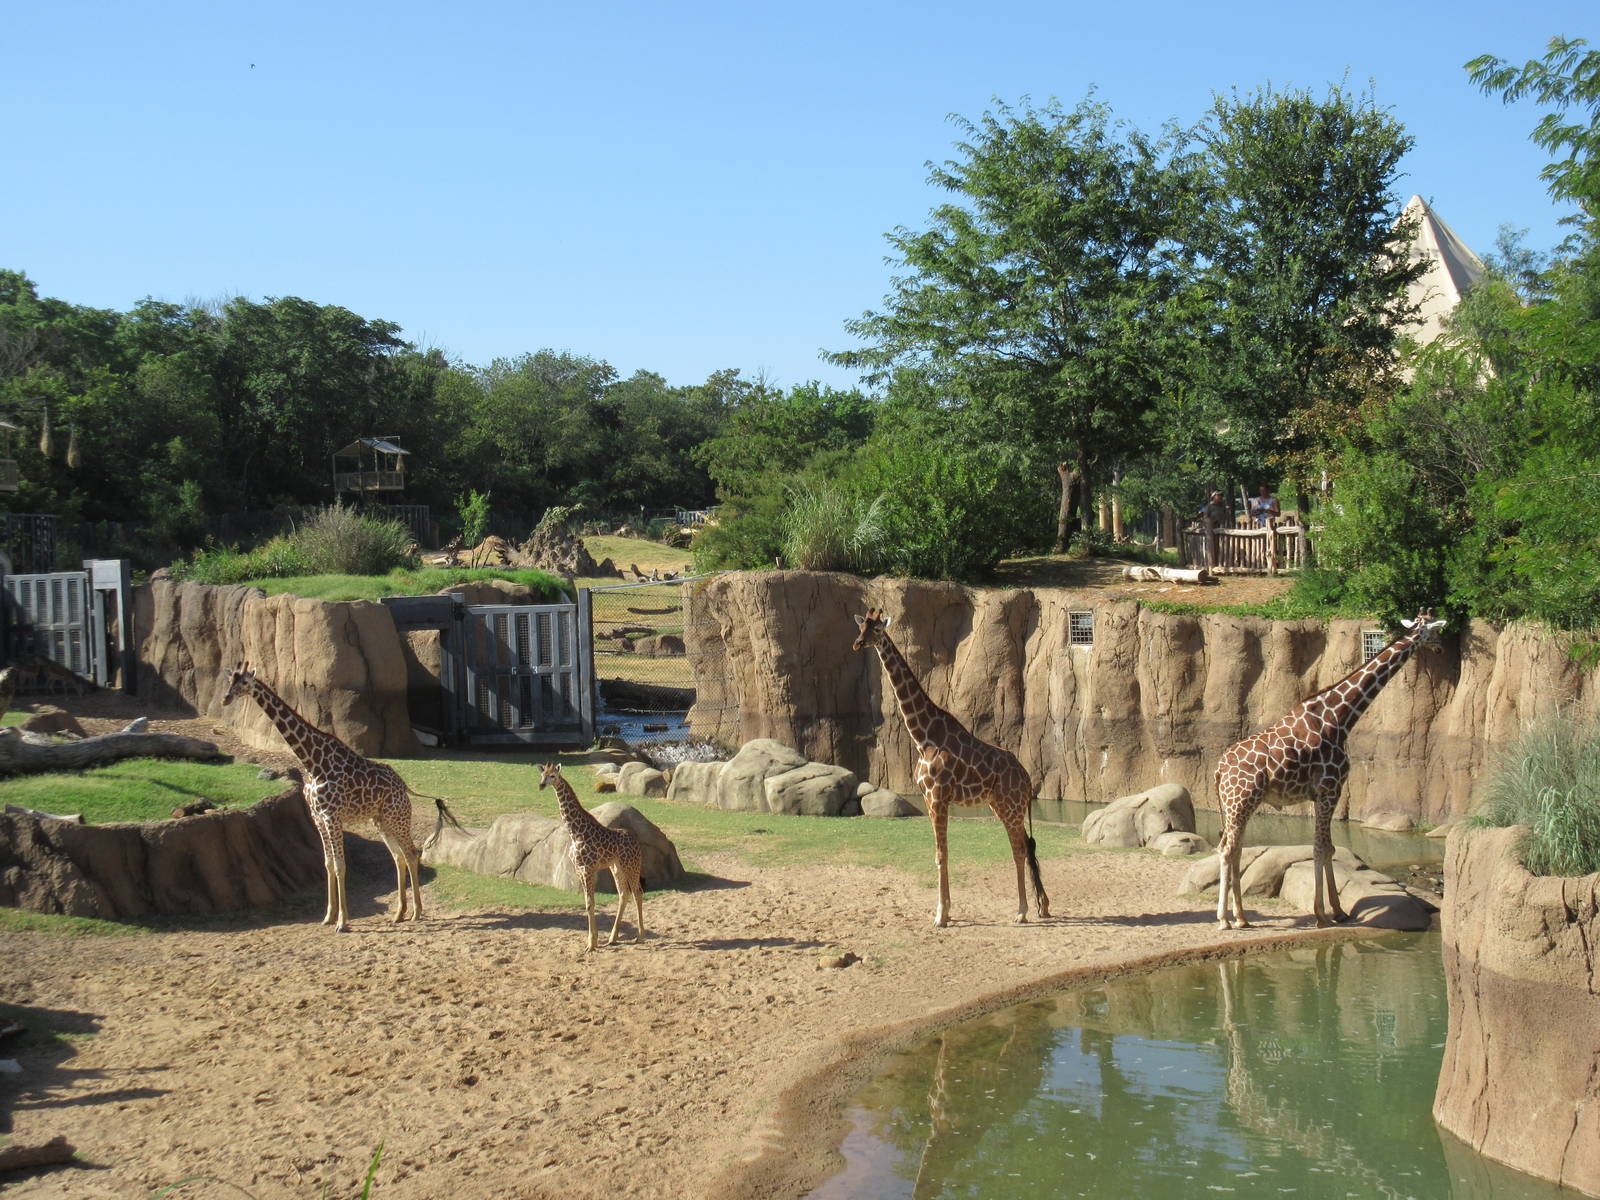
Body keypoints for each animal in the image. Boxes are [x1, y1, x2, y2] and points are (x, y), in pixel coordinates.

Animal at [221, 664, 465, 932]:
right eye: (229, 681)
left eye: (244, 682)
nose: (226, 698)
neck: (312, 762)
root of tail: (404, 786)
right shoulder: (318, 817)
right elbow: (328, 864)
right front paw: (328, 916)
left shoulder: (332, 816)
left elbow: (340, 865)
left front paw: (342, 921)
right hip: (381, 821)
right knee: (398, 856)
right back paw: (399, 913)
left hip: (397, 817)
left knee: (411, 853)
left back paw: (416, 912)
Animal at [538, 762, 645, 950]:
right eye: (542, 774)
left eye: (553, 776)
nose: (541, 785)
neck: (575, 832)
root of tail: (637, 842)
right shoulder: (579, 869)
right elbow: (587, 903)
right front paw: (593, 941)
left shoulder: (587, 868)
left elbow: (590, 903)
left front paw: (591, 943)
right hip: (616, 867)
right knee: (623, 894)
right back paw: (613, 938)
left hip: (631, 865)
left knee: (637, 893)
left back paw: (640, 937)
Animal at [853, 608, 1049, 927]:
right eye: (861, 628)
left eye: (878, 630)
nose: (857, 644)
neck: (923, 737)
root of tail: (1028, 778)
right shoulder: (928, 798)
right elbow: (941, 854)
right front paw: (944, 911)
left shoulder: (937, 797)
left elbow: (941, 854)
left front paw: (941, 915)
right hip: (1002, 805)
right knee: (1027, 845)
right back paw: (1042, 906)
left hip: (1011, 806)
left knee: (1020, 850)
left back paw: (1022, 911)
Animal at [1213, 607, 1446, 930]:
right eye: (1435, 630)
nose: (1440, 647)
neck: (1340, 717)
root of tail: (1219, 770)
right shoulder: (1330, 789)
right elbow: (1321, 848)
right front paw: (1323, 913)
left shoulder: (1322, 794)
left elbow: (1329, 848)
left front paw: (1338, 910)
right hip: (1240, 801)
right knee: (1227, 849)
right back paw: (1224, 919)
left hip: (1239, 804)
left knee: (1233, 848)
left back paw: (1242, 917)